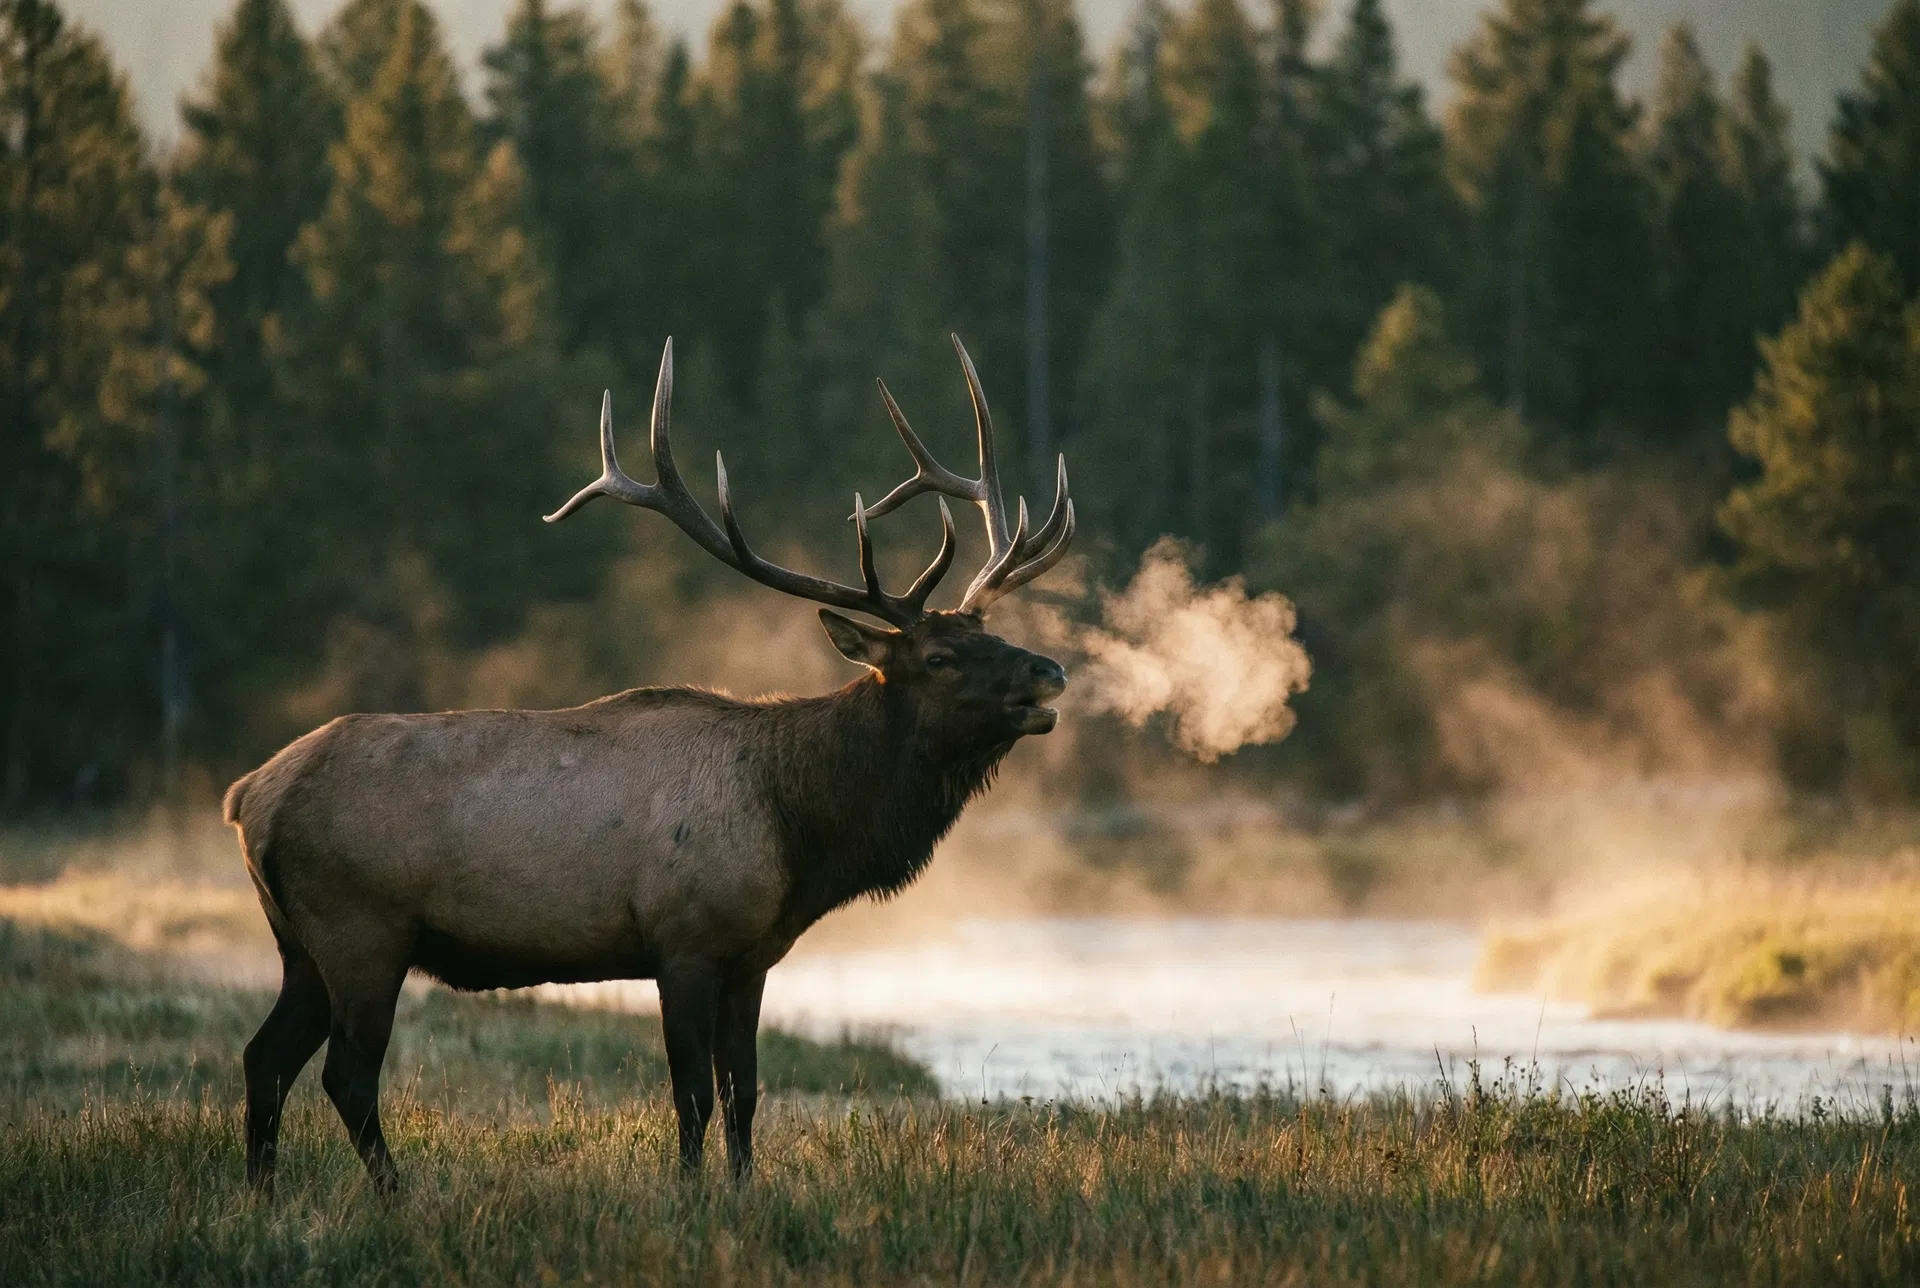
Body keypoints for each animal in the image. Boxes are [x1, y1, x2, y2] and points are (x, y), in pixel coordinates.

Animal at [223, 336, 1076, 1195]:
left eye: (989, 634)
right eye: (940, 658)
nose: (1050, 673)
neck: (797, 830)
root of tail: (247, 796)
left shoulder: (752, 957)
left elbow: (744, 1091)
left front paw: (741, 1189)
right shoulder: (684, 940)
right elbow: (692, 1091)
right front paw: (693, 1193)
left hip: (301, 945)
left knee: (264, 1058)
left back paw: (264, 1193)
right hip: (362, 927)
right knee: (345, 1074)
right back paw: (393, 1195)